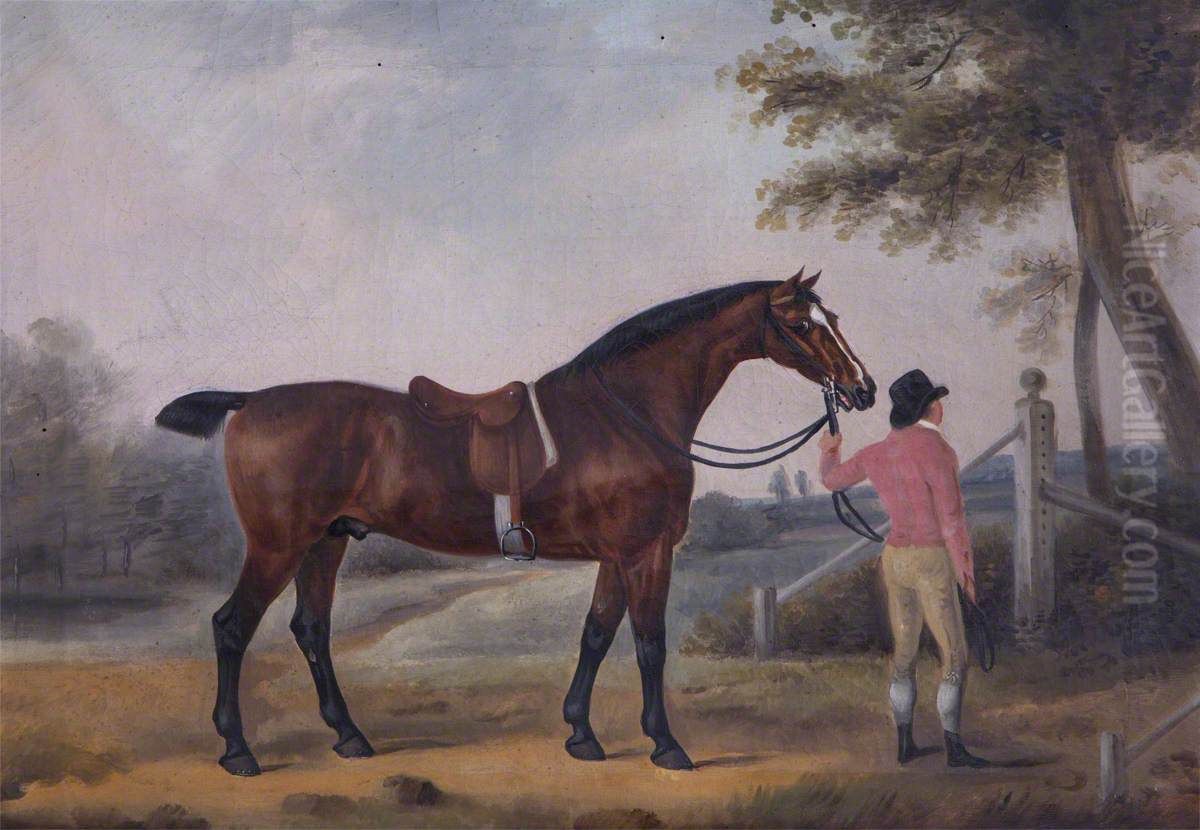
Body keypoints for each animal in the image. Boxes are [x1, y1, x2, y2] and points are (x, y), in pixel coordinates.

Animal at [155, 268, 875, 776]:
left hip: (325, 544)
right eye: (803, 324)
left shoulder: (616, 556)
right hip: (277, 545)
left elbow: (595, 634)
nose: (862, 388)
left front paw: (581, 734)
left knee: (310, 629)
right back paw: (238, 751)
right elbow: (649, 643)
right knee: (232, 627)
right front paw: (666, 745)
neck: (628, 412)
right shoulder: (645, 552)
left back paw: (350, 737)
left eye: (834, 317)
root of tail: (250, 401)